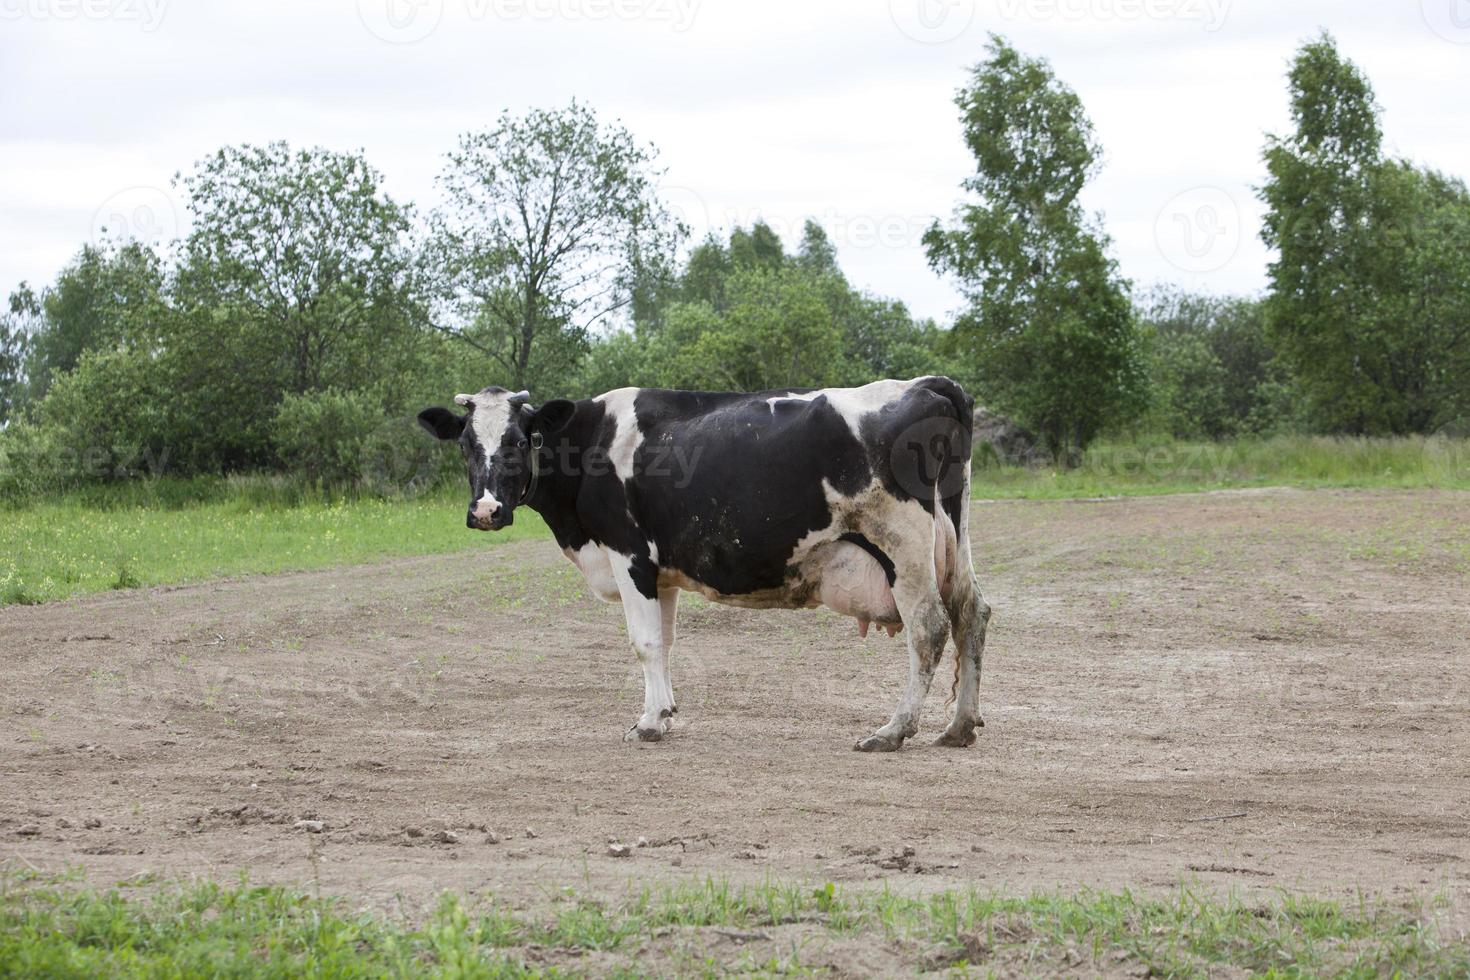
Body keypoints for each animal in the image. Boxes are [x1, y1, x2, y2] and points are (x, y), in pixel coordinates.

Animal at [423, 376, 999, 752]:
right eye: (466, 444)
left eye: (519, 440)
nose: (486, 511)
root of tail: (929, 383)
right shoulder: (662, 572)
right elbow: (664, 643)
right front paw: (664, 714)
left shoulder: (629, 554)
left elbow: (644, 642)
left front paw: (648, 723)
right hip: (955, 544)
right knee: (972, 614)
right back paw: (958, 727)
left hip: (905, 548)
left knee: (928, 627)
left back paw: (892, 731)